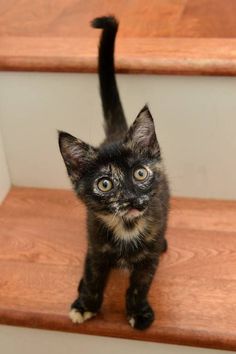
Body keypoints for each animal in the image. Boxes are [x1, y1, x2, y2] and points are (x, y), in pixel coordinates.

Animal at [59, 15, 170, 332]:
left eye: (141, 174)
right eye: (105, 184)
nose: (131, 198)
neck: (127, 227)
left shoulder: (149, 258)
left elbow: (139, 285)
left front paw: (138, 312)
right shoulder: (96, 246)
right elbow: (94, 277)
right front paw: (85, 305)